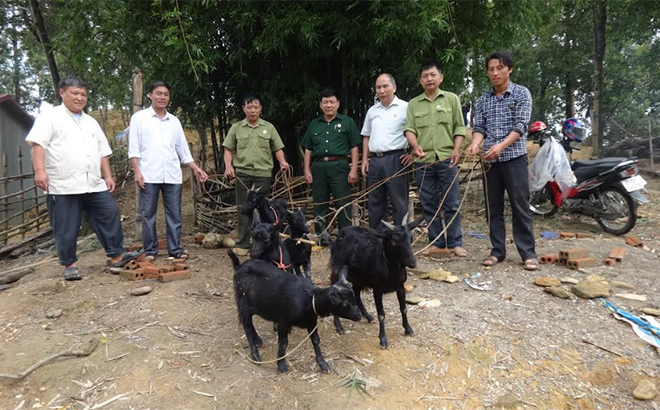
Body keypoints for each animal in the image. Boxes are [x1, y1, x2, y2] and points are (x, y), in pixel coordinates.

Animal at [228, 248, 360, 374]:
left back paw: (258, 340)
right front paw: (281, 365)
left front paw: (323, 364)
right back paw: (255, 355)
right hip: (243, 304)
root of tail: (239, 266)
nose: (359, 316)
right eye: (344, 303)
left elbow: (316, 340)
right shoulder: (283, 321)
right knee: (247, 327)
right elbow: (283, 343)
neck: (309, 300)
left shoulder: (311, 321)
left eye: (353, 297)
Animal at [328, 215, 422, 350]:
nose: (412, 262)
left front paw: (408, 329)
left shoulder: (400, 286)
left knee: (356, 294)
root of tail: (339, 234)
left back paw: (367, 316)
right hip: (337, 270)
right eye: (393, 242)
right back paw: (339, 326)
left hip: (359, 277)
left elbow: (403, 308)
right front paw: (383, 339)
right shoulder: (377, 289)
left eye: (411, 238)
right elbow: (381, 314)